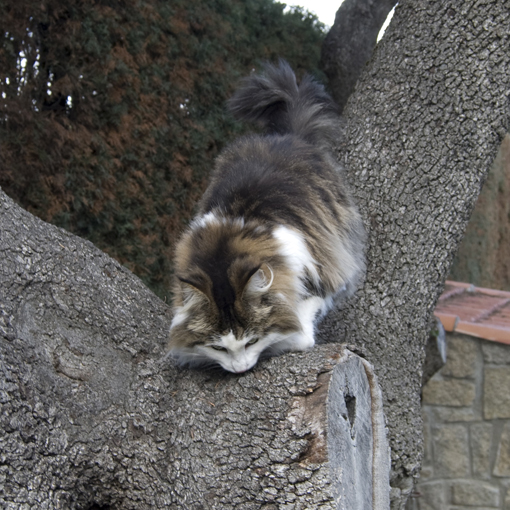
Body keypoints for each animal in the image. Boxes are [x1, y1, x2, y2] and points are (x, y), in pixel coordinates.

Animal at [168, 60, 366, 374]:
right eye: (219, 347)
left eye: (252, 341)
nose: (239, 370)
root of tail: (287, 136)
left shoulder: (329, 270)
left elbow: (300, 324)